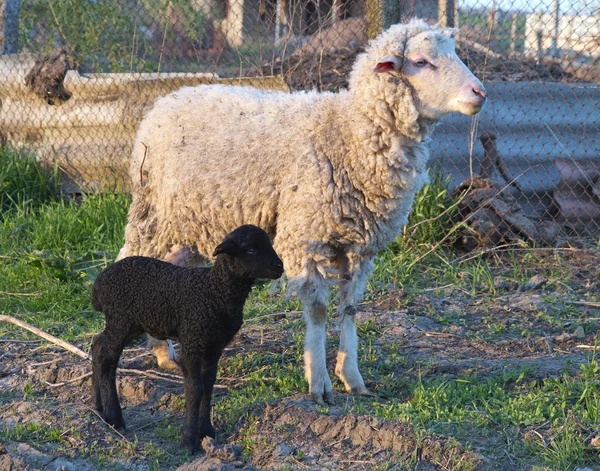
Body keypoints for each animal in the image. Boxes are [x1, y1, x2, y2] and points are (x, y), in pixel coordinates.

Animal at [91, 225, 284, 454]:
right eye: (251, 249)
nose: (280, 267)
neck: (216, 290)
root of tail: (98, 285)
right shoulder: (192, 342)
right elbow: (195, 388)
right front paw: (189, 440)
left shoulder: (213, 347)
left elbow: (208, 385)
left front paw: (207, 431)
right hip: (121, 320)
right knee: (106, 357)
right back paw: (114, 418)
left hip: (127, 323)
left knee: (97, 345)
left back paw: (99, 408)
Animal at [118, 19, 488, 406]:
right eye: (420, 61)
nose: (480, 92)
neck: (348, 133)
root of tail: (167, 99)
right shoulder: (307, 237)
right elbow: (319, 312)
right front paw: (319, 383)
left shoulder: (360, 247)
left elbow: (350, 309)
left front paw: (352, 377)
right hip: (151, 212)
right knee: (129, 261)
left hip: (192, 223)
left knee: (165, 269)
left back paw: (164, 352)